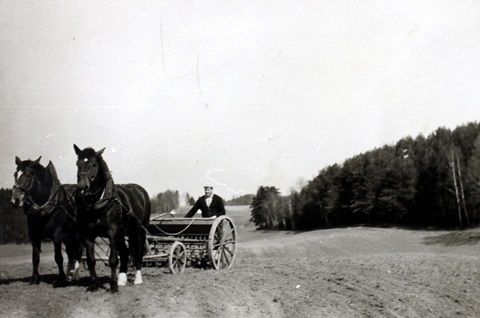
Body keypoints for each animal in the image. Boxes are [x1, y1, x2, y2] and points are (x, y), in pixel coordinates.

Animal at [11, 145, 150, 292]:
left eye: (28, 174)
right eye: (15, 174)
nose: (15, 199)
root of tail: (140, 190)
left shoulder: (61, 234)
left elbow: (110, 259)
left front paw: (112, 287)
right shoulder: (39, 235)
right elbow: (37, 258)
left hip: (139, 231)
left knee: (138, 252)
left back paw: (137, 279)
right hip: (118, 233)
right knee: (122, 252)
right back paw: (119, 279)